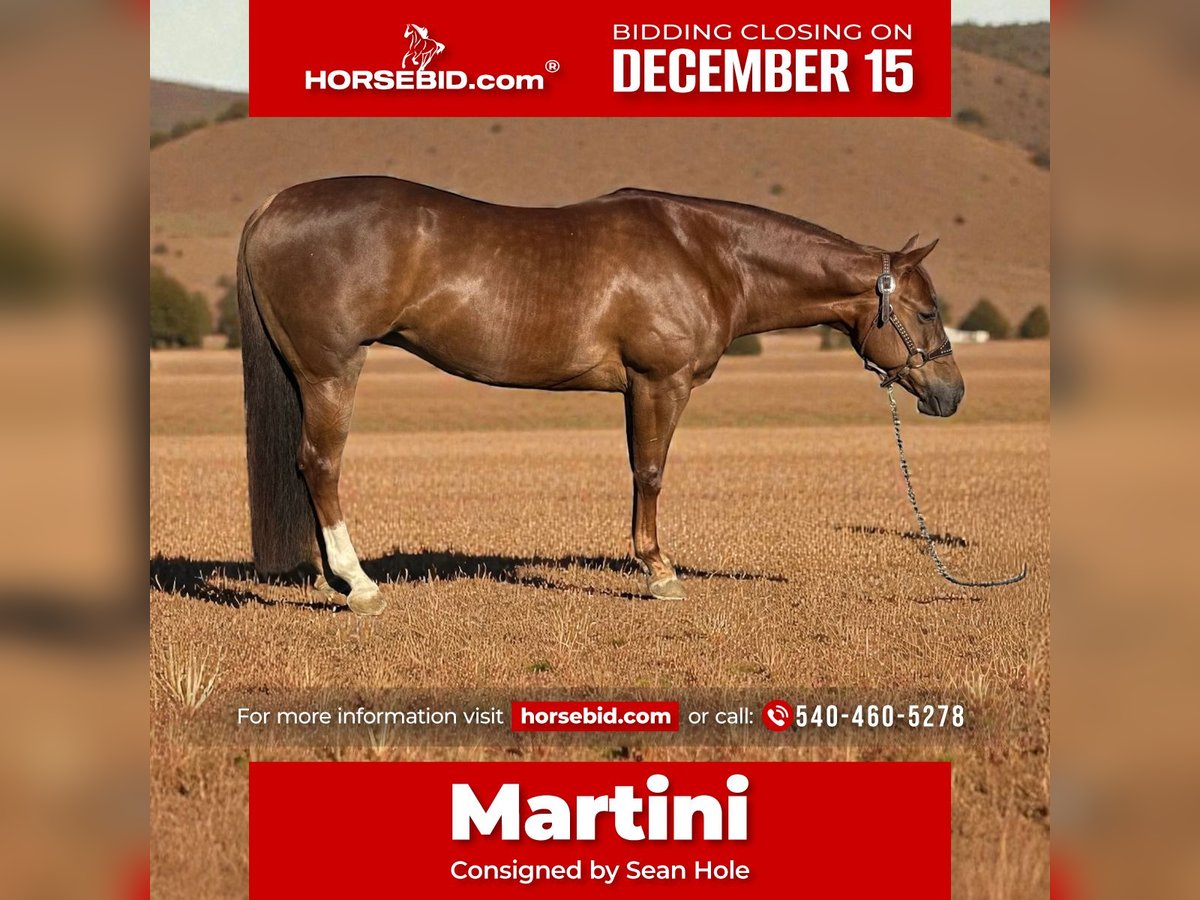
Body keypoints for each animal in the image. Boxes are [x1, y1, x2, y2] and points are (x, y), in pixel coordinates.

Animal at [236, 177, 963, 615]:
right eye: (927, 312)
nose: (952, 394)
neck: (707, 254)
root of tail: (273, 206)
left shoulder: (634, 389)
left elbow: (636, 470)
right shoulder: (660, 382)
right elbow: (652, 472)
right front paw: (660, 573)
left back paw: (332, 578)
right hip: (331, 371)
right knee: (321, 465)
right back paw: (360, 587)